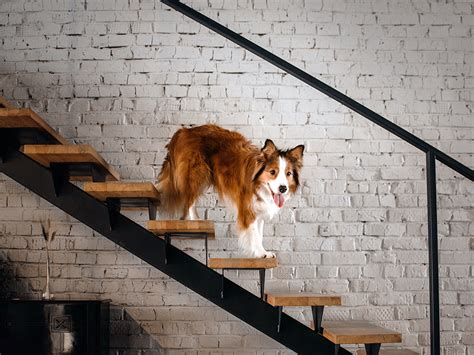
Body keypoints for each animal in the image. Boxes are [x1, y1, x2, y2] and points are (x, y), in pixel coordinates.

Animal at [156, 125, 304, 258]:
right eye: (272, 172)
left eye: (288, 173)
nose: (283, 188)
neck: (257, 183)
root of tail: (183, 131)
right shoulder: (247, 208)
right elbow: (254, 234)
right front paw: (261, 253)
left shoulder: (259, 210)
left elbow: (259, 234)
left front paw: (261, 252)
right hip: (197, 174)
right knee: (189, 199)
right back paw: (194, 220)